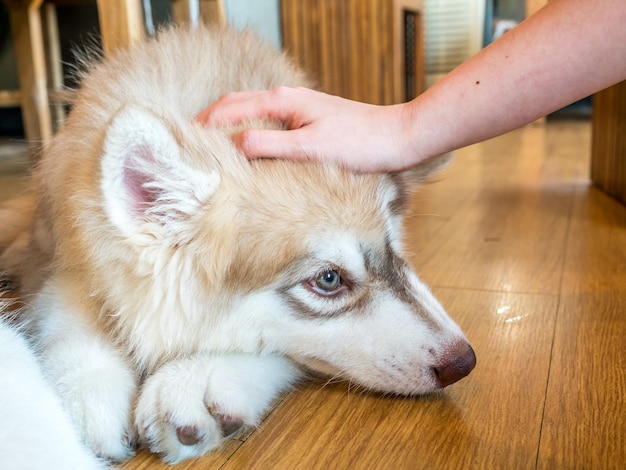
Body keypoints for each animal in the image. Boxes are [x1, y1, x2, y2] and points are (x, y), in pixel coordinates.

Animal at [0, 25, 472, 462]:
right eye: (328, 279)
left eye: (396, 251)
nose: (464, 362)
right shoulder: (64, 256)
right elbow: (65, 309)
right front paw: (87, 391)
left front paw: (198, 379)